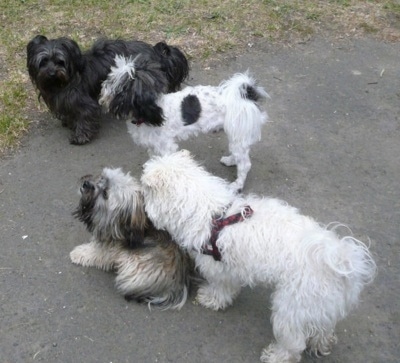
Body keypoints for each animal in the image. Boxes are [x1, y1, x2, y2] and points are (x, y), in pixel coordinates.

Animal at [26, 35, 189, 145]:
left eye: (60, 61)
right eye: (43, 62)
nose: (51, 73)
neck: (61, 83)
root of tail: (156, 51)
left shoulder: (84, 104)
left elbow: (84, 119)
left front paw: (80, 136)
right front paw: (69, 122)